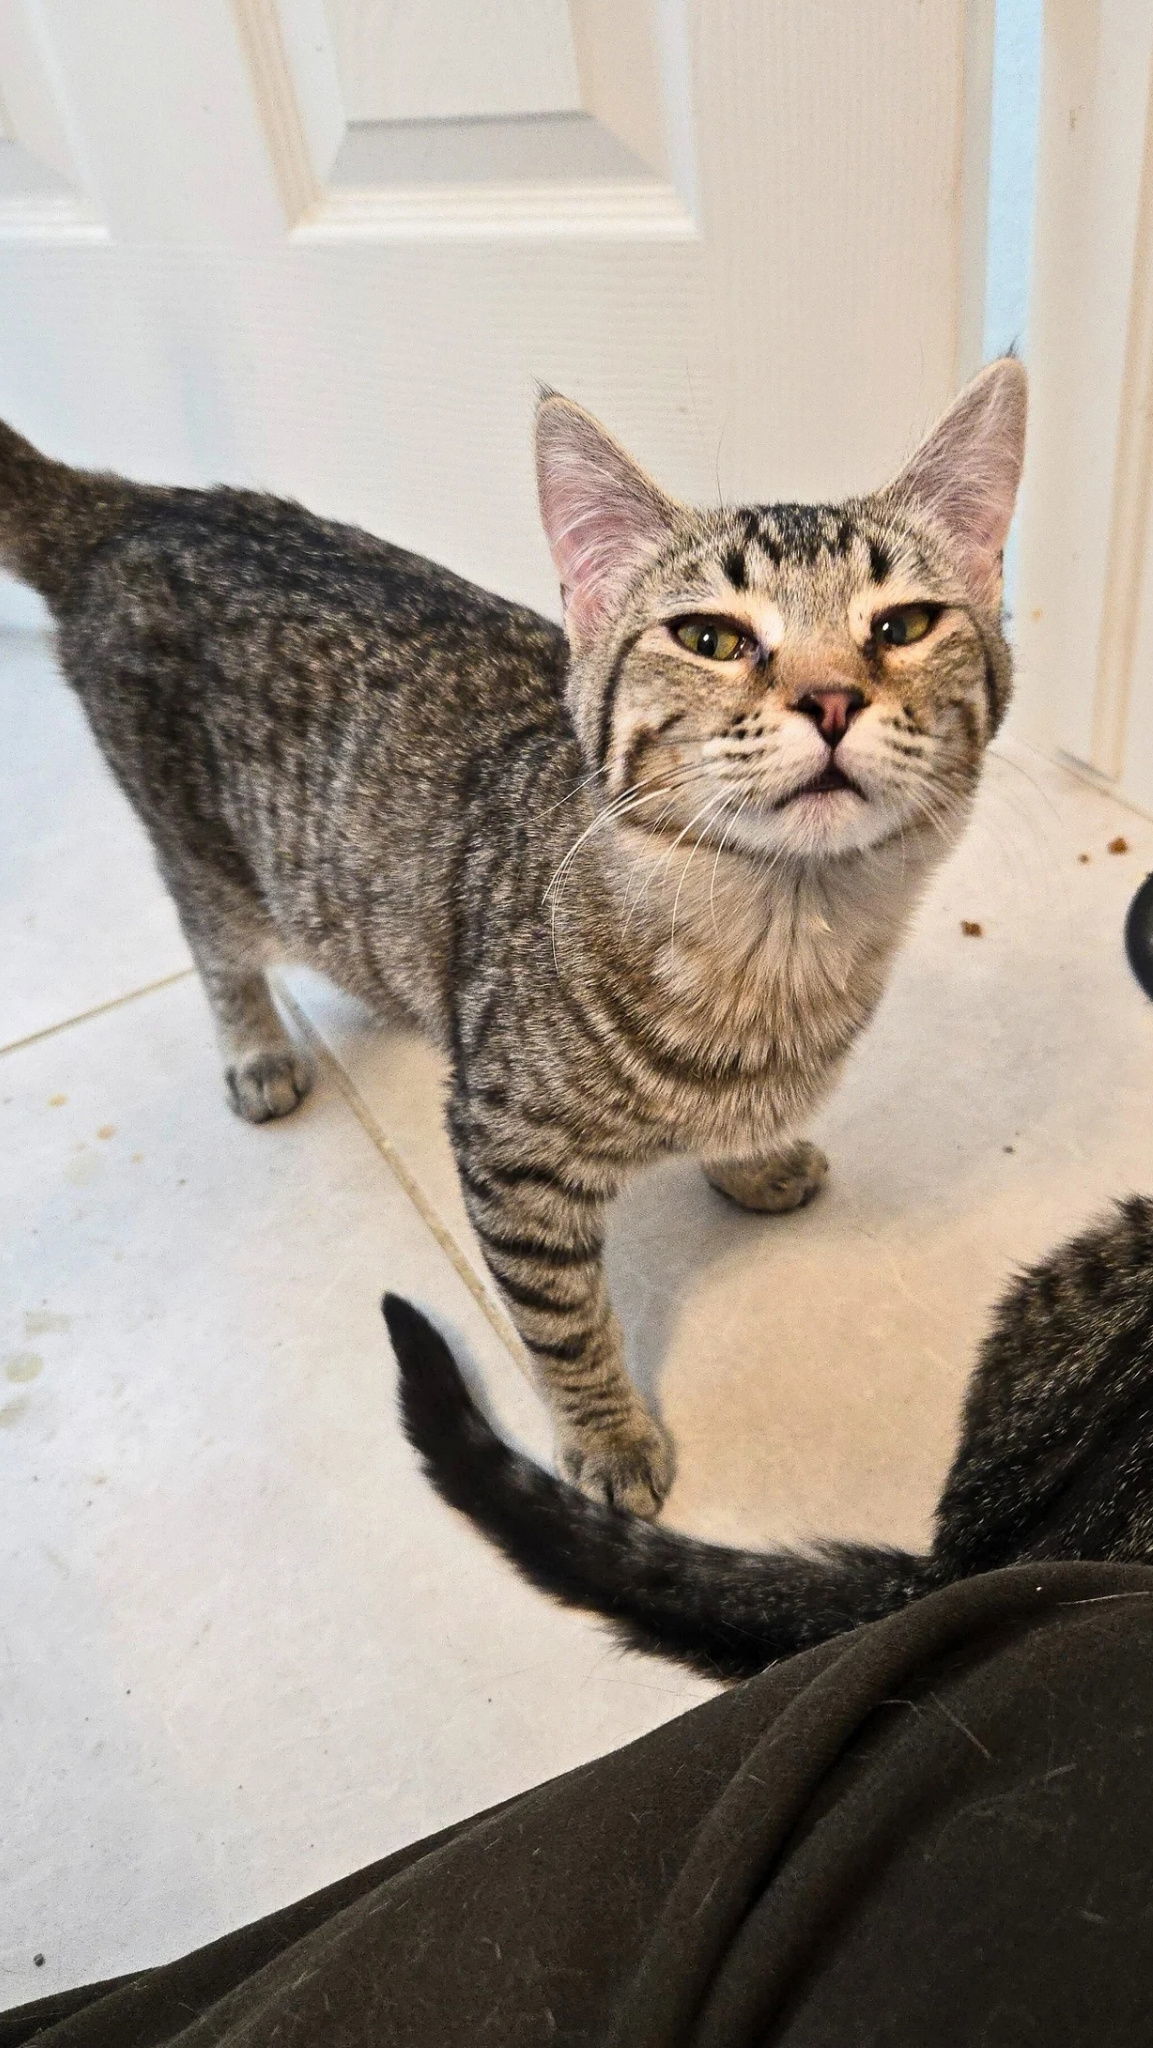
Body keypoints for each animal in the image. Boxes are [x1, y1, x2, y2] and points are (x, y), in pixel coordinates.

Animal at [2, 364, 1028, 1523]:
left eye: (904, 624)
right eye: (711, 639)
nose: (831, 696)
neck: (778, 940)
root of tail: (144, 507)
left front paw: (750, 1156)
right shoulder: (510, 1153)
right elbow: (563, 1325)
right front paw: (607, 1435)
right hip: (207, 852)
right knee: (215, 949)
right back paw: (258, 1047)